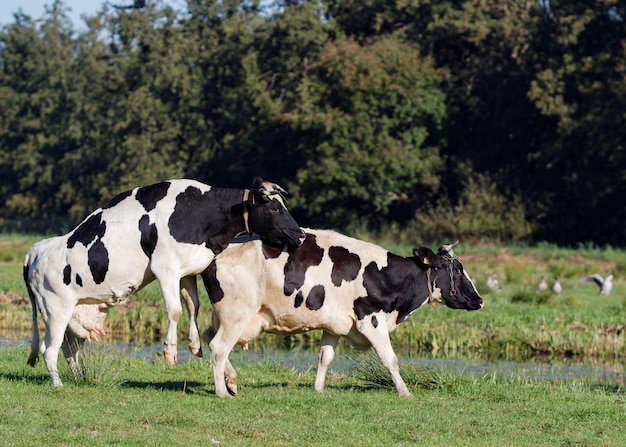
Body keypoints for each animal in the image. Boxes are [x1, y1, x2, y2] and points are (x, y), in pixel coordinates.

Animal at [24, 177, 304, 386]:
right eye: (275, 208)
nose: (300, 235)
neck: (199, 212)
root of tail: (36, 250)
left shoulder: (189, 269)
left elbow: (193, 306)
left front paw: (194, 344)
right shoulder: (165, 267)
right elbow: (175, 309)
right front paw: (170, 351)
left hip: (77, 313)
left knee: (70, 349)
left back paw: (79, 378)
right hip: (55, 310)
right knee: (48, 349)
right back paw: (58, 384)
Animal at [201, 229, 482, 398]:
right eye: (457, 270)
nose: (479, 300)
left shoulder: (334, 325)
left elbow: (325, 358)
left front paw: (318, 388)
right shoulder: (371, 319)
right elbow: (390, 359)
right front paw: (405, 392)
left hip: (226, 316)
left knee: (208, 338)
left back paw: (231, 380)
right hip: (236, 313)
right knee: (218, 347)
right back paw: (222, 391)